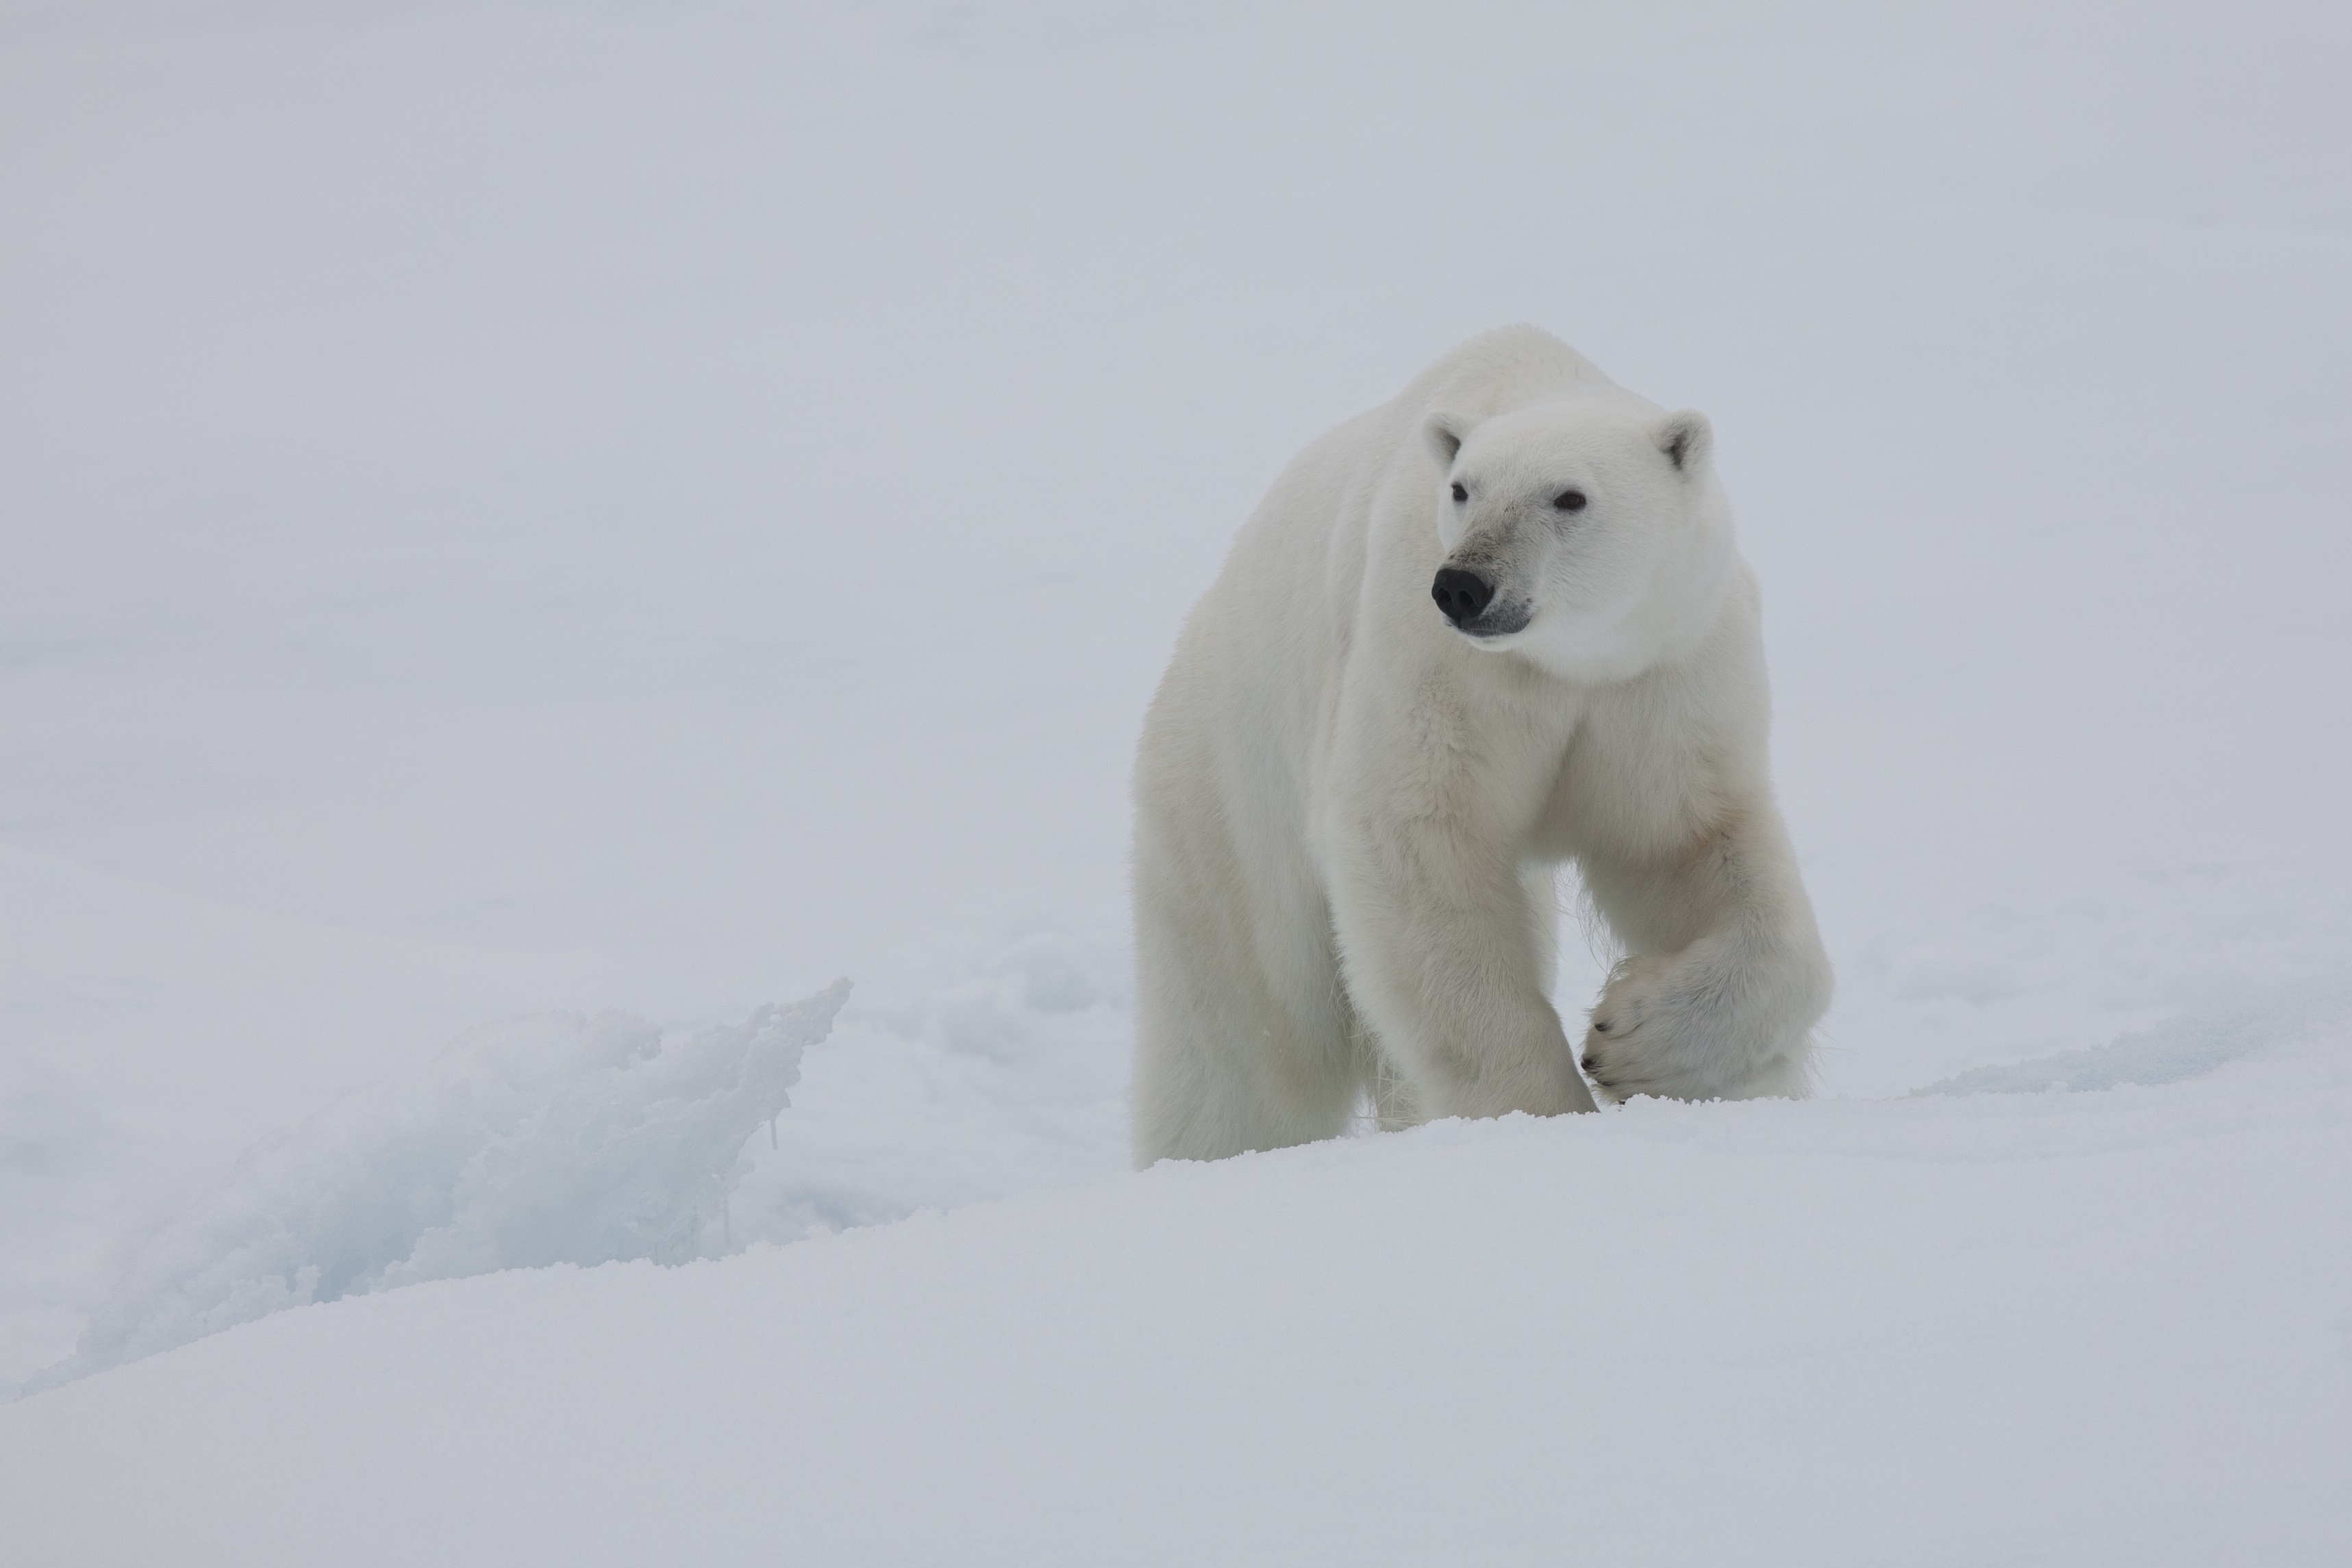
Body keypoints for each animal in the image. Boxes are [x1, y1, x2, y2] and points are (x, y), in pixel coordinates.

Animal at [1131, 325, 1832, 1165]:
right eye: (1463, 490)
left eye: (1569, 496)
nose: (1464, 585)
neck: (1563, 662)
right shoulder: (1436, 663)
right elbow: (1421, 839)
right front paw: (1538, 1114)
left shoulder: (1660, 673)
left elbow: (1687, 846)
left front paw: (1632, 1038)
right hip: (1228, 794)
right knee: (1242, 1042)